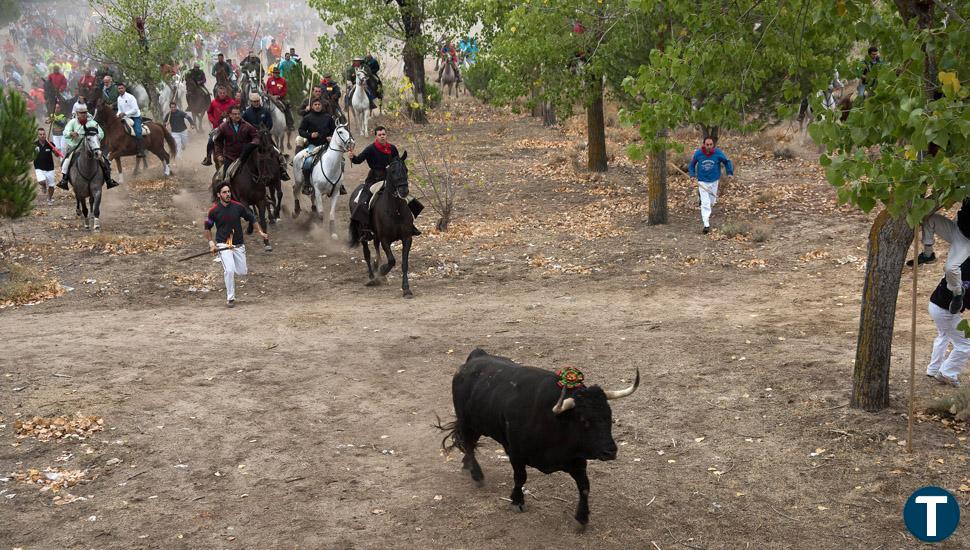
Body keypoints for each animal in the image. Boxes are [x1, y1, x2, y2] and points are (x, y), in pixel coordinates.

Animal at [348, 153, 416, 300]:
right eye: (393, 171)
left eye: (406, 170)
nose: (404, 191)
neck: (395, 210)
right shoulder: (386, 239)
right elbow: (391, 260)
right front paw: (382, 271)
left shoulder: (407, 238)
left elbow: (404, 263)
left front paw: (406, 289)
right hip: (363, 234)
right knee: (367, 253)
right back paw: (372, 277)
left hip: (376, 235)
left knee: (375, 246)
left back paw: (377, 268)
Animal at [436, 350, 636, 532]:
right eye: (584, 420)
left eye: (609, 416)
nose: (610, 451)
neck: (554, 420)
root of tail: (477, 356)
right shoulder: (515, 453)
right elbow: (520, 477)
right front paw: (517, 500)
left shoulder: (577, 460)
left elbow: (585, 486)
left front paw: (582, 517)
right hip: (467, 422)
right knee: (469, 445)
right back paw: (477, 475)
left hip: (478, 425)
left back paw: (467, 465)